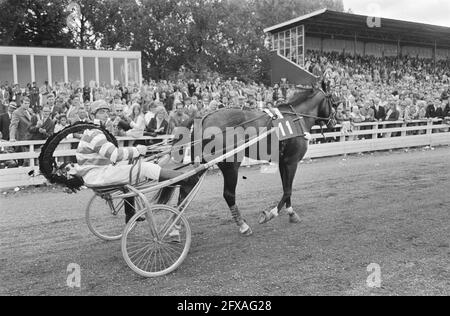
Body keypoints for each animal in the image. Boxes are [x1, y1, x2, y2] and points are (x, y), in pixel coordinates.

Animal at [155, 87, 338, 236]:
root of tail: (204, 117)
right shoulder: (291, 162)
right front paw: (270, 214)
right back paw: (242, 225)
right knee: (228, 194)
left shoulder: (282, 162)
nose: (333, 121)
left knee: (186, 188)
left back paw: (175, 227)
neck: (296, 118)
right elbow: (288, 190)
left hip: (201, 163)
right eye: (333, 102)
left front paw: (291, 213)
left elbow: (286, 188)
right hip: (230, 165)